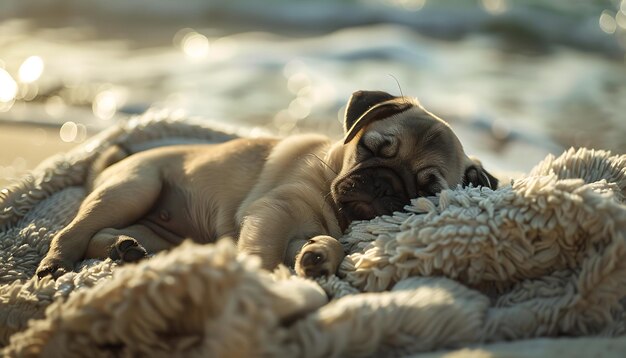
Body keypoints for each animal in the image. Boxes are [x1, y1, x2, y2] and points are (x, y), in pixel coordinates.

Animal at [36, 90, 498, 280]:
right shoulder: (273, 214)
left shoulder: (296, 230)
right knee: (74, 231)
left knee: (103, 236)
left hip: (164, 236)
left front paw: (318, 257)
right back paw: (57, 263)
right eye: (370, 148)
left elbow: (317, 247)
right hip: (134, 188)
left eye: (427, 190)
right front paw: (263, 281)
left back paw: (125, 250)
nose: (384, 185)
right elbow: (263, 255)